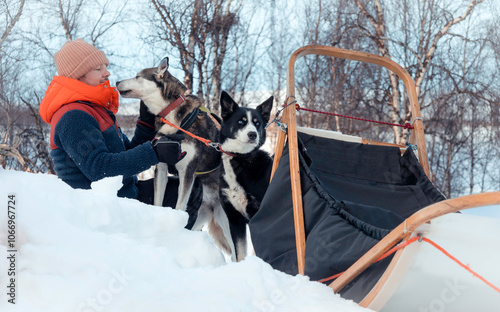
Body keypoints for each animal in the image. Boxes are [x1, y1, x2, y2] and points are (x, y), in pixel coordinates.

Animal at [117, 58, 232, 254]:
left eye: (138, 76)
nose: (116, 81)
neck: (171, 115)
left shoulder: (188, 170)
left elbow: (180, 205)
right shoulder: (161, 165)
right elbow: (157, 199)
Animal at [219, 91, 274, 260]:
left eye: (257, 123)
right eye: (241, 122)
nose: (252, 134)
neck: (241, 158)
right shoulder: (235, 219)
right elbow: (240, 254)